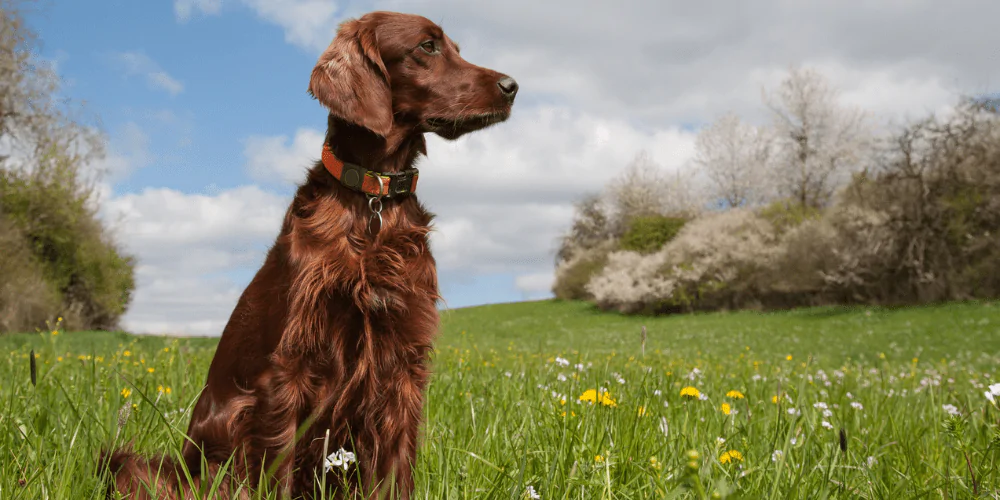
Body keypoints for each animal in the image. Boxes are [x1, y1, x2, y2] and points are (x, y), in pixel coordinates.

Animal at [102, 11, 520, 500]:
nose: (512, 86)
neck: (373, 202)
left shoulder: (402, 364)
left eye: (455, 47)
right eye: (427, 46)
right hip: (228, 425)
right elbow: (276, 469)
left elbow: (395, 469)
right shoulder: (288, 369)